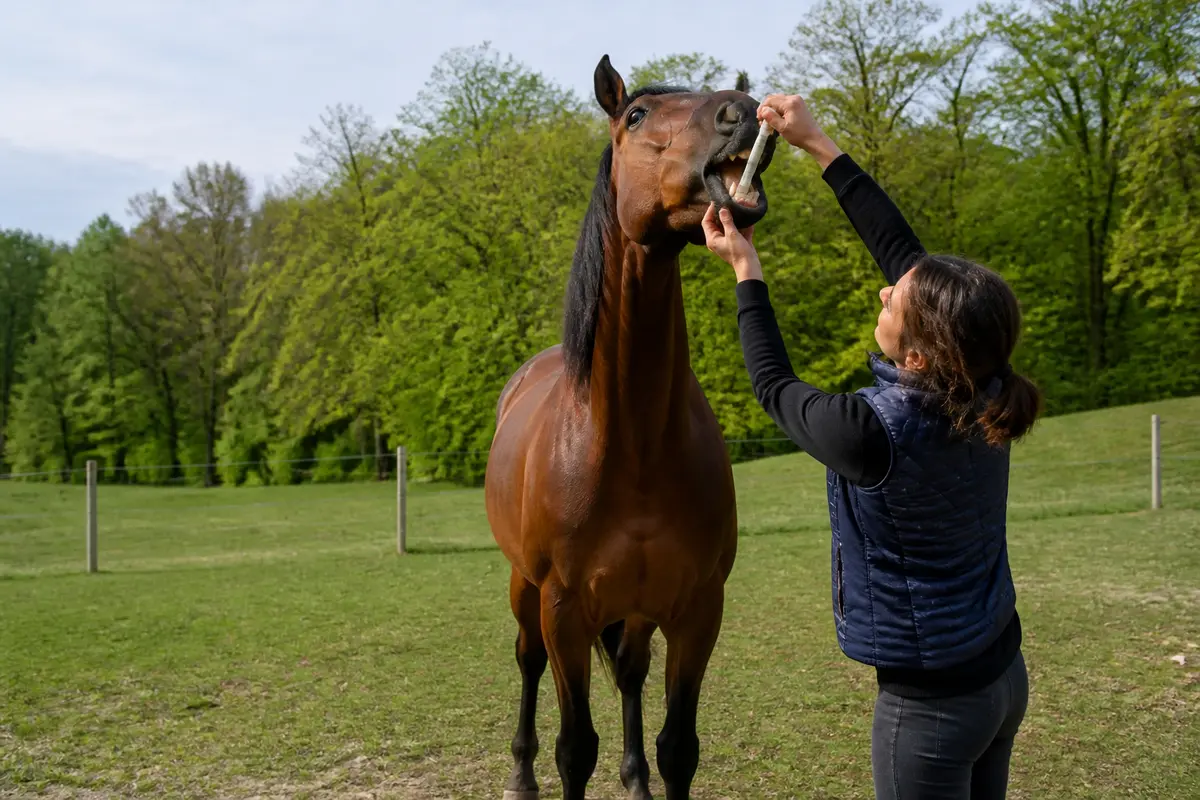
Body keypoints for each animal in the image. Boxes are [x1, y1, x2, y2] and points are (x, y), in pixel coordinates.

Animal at [484, 55, 776, 800]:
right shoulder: (564, 610)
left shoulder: (698, 609)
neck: (631, 442)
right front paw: (550, 766)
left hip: (639, 609)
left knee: (630, 673)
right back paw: (520, 773)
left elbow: (680, 748)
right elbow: (574, 749)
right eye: (636, 116)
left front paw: (649, 771)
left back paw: (635, 777)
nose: (743, 111)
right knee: (526, 661)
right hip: (525, 590)